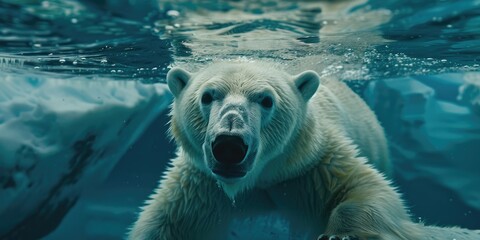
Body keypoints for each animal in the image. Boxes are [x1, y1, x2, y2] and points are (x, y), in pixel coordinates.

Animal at [129, 62, 480, 240]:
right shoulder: (201, 184)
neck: (260, 179)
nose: (229, 144)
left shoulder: (310, 164)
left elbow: (369, 191)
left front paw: (341, 236)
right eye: (207, 95)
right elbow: (164, 223)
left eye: (266, 99)